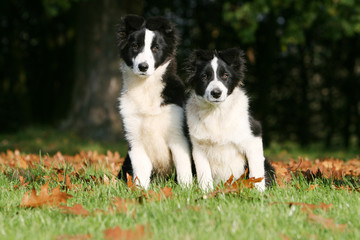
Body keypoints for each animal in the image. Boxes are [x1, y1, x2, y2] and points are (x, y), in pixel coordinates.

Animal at [116, 15, 193, 189]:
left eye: (156, 48)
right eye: (135, 46)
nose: (143, 67)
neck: (146, 88)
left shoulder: (178, 136)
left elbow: (183, 167)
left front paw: (187, 189)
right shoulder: (135, 139)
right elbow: (141, 170)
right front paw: (141, 191)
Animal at [186, 48, 276, 191]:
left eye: (225, 75)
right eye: (204, 76)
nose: (216, 93)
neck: (217, 113)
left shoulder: (253, 136)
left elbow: (256, 172)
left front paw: (259, 192)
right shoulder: (198, 146)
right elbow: (204, 174)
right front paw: (206, 191)